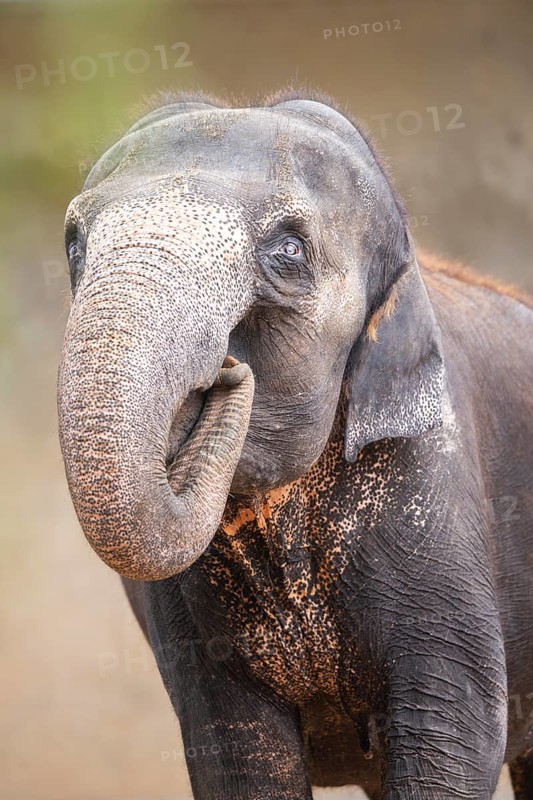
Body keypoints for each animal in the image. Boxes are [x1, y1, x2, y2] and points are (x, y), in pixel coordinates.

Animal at [57, 90, 533, 800]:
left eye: (288, 249)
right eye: (73, 245)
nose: (228, 373)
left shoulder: (435, 494)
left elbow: (453, 737)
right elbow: (238, 755)